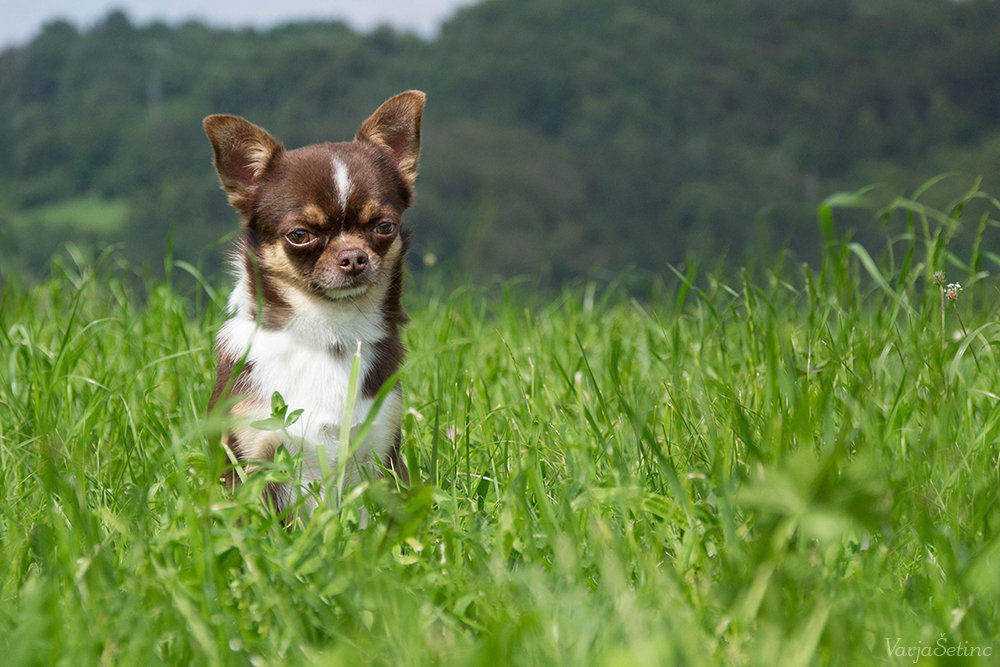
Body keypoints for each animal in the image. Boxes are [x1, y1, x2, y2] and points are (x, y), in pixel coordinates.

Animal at [203, 90, 422, 516]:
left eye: (383, 227)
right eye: (300, 235)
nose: (353, 257)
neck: (329, 334)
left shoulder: (382, 457)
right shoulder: (249, 462)